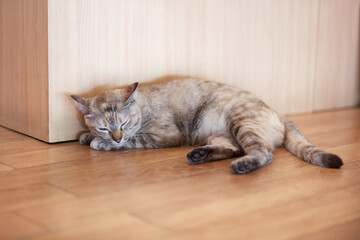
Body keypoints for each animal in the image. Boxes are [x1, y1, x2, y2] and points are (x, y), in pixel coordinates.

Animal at [71, 79, 344, 174]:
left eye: (124, 123)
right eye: (104, 127)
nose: (114, 137)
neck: (144, 104)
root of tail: (278, 112)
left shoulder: (164, 135)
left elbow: (133, 140)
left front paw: (98, 143)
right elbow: (87, 134)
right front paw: (86, 136)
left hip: (241, 122)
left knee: (262, 154)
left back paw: (240, 167)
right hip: (219, 135)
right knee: (234, 149)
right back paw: (198, 156)